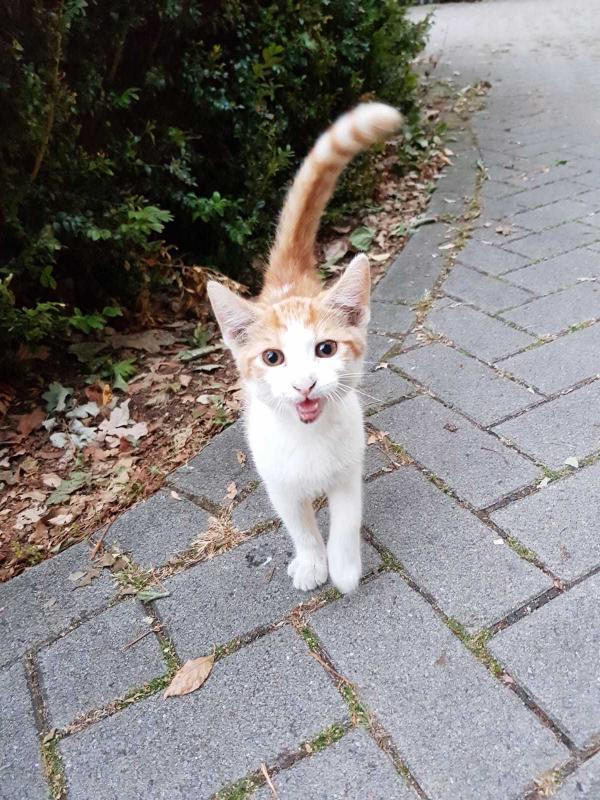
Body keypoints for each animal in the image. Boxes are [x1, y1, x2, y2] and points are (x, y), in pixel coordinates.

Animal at [207, 103, 402, 593]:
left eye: (326, 349)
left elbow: (346, 520)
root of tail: (287, 282)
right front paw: (313, 562)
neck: (308, 438)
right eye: (272, 357)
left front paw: (344, 567)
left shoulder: (349, 470)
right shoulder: (278, 482)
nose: (304, 384)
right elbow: (300, 526)